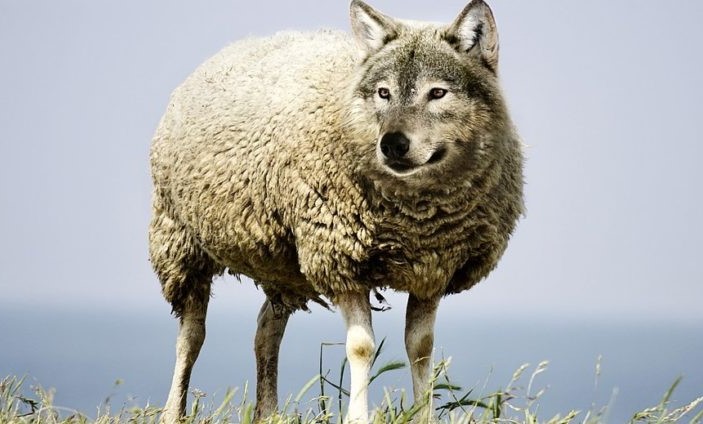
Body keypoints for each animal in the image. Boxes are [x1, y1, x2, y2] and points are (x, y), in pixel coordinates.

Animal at [148, 0, 523, 422]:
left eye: (438, 92)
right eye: (383, 92)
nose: (392, 144)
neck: (416, 219)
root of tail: (238, 44)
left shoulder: (432, 270)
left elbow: (421, 347)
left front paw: (423, 413)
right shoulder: (341, 260)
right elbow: (361, 347)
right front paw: (358, 417)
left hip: (282, 265)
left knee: (266, 331)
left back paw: (268, 412)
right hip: (179, 240)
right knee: (192, 335)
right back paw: (173, 411)